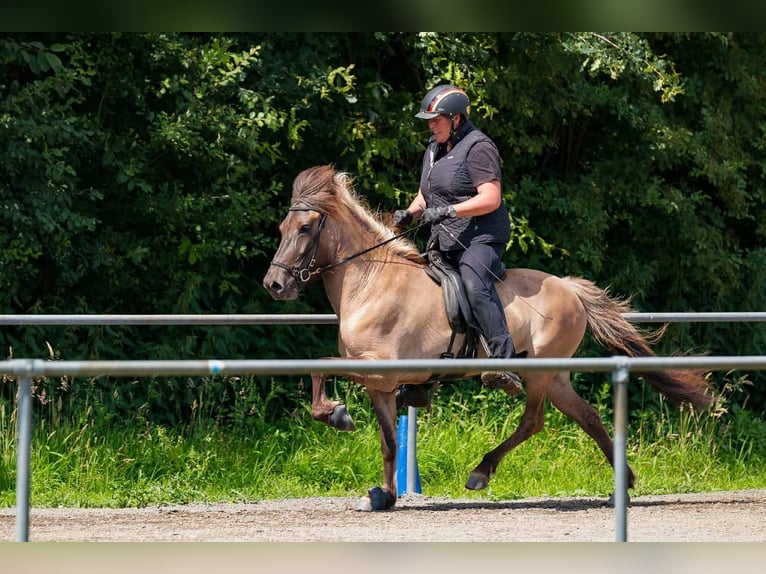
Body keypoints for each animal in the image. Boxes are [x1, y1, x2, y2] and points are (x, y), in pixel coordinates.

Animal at [264, 164, 712, 510]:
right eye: (284, 226)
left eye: (306, 228)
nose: (274, 285)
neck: (370, 281)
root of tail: (569, 288)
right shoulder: (382, 386)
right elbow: (390, 441)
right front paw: (385, 496)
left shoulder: (379, 371)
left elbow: (319, 368)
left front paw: (335, 414)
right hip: (556, 375)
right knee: (586, 416)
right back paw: (624, 487)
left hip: (539, 372)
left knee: (533, 420)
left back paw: (481, 472)